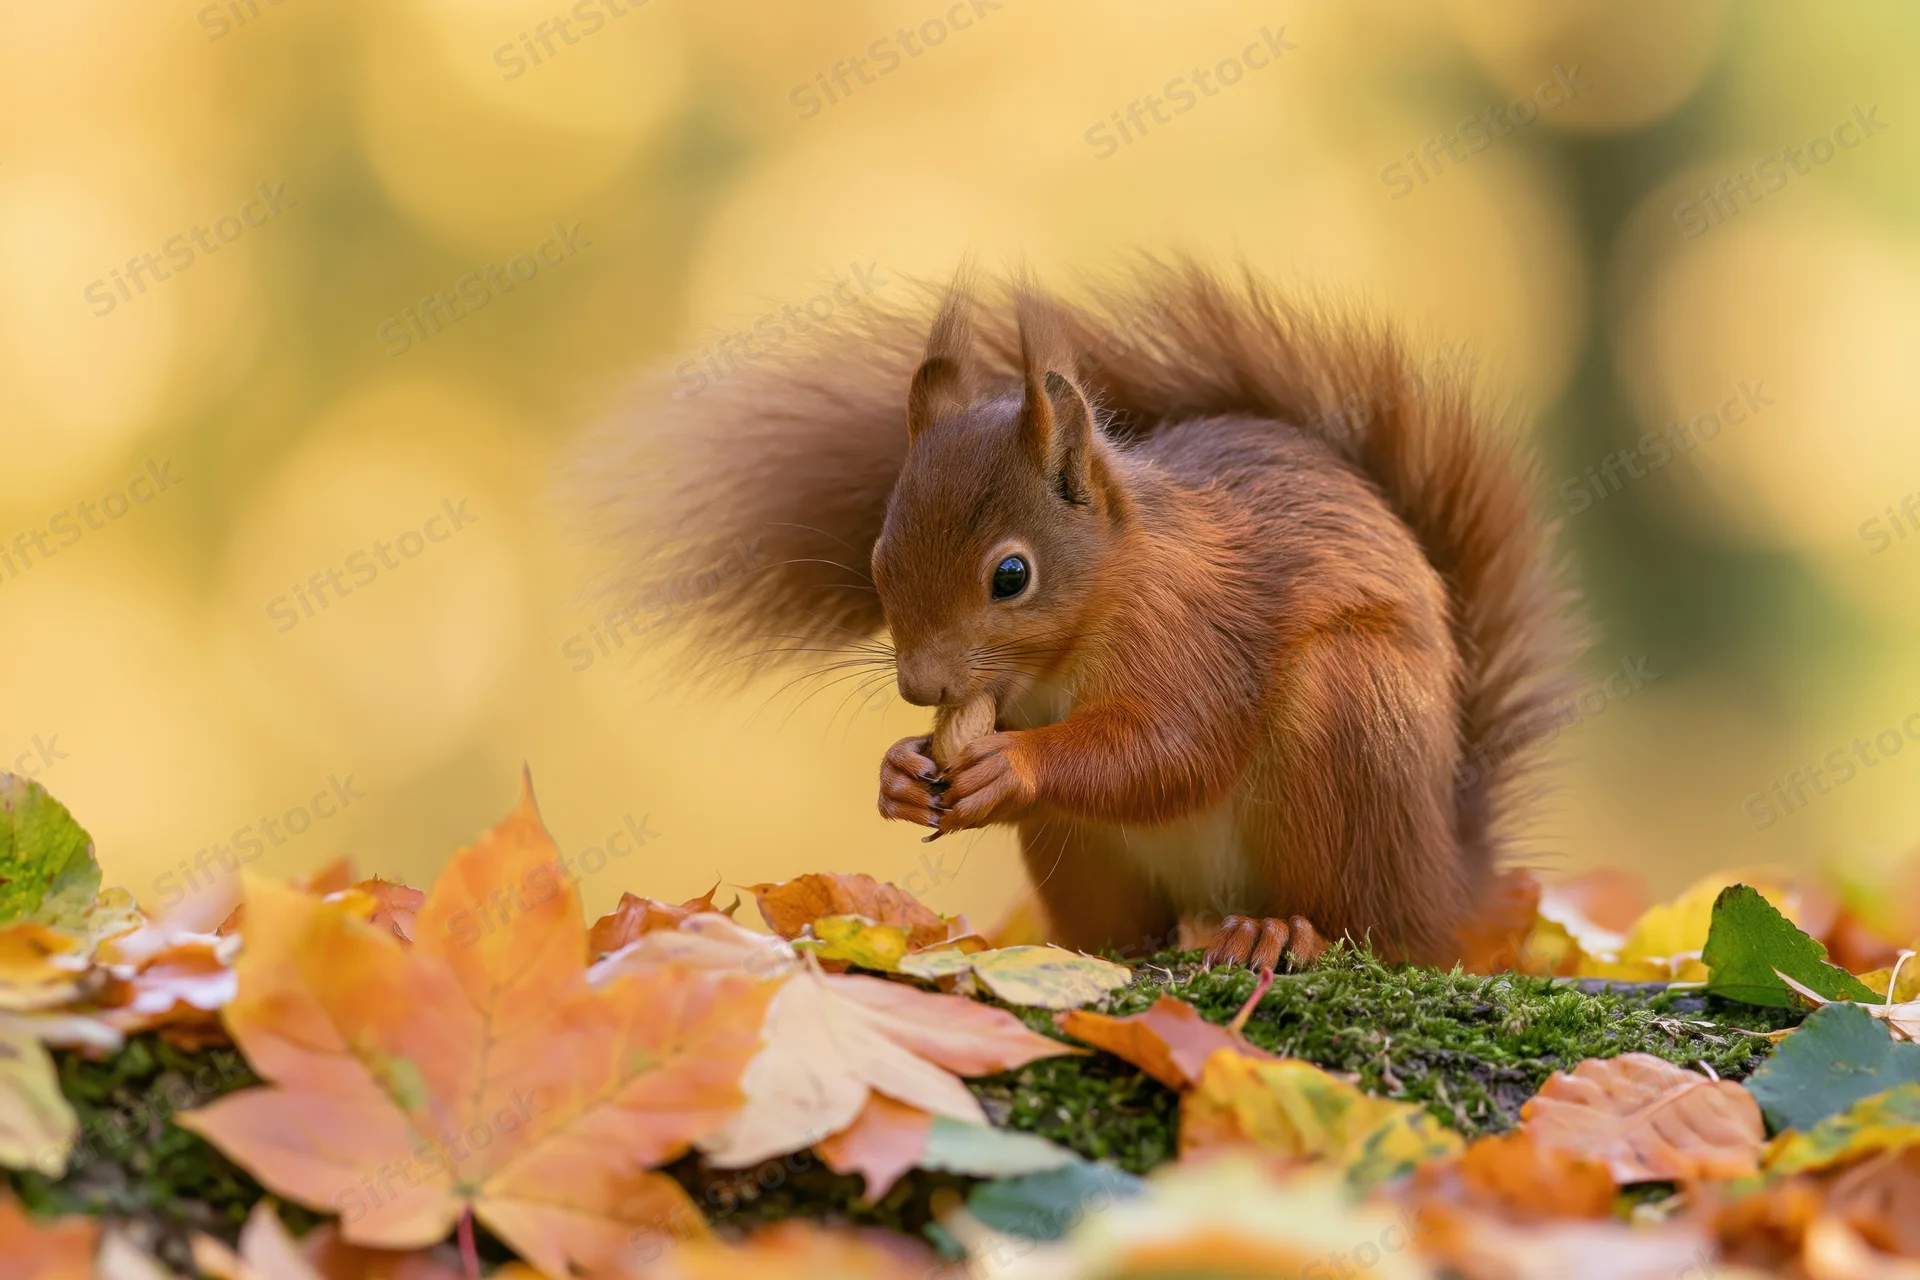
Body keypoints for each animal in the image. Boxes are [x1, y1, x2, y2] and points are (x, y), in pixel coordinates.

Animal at [587, 260, 1579, 968]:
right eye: (877, 561)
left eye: (1011, 576)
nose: (920, 688)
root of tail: (1449, 883)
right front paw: (900, 772)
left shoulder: (1193, 633)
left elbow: (1174, 746)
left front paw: (1013, 764)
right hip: (1084, 855)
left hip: (1350, 731)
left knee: (1368, 929)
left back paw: (1282, 932)